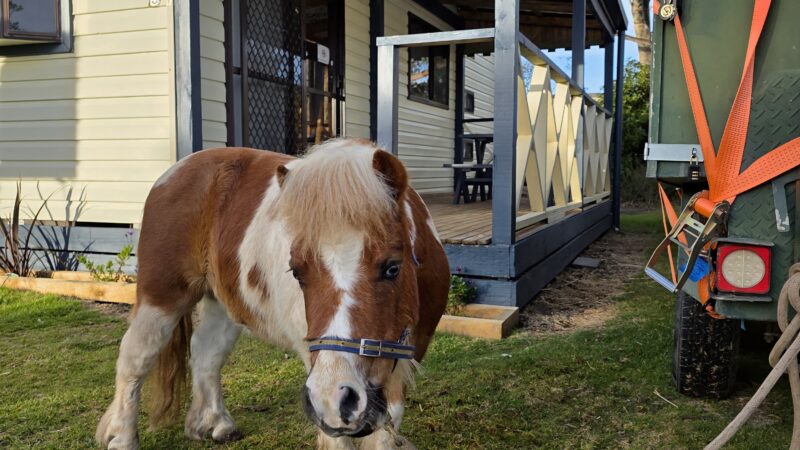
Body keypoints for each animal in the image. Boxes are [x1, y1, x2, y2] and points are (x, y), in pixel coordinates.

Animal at [95, 138, 450, 449]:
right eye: (297, 271)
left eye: (392, 267)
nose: (337, 396)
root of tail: (173, 173)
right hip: (162, 297)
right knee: (135, 358)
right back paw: (122, 437)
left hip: (222, 305)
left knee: (206, 352)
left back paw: (215, 424)